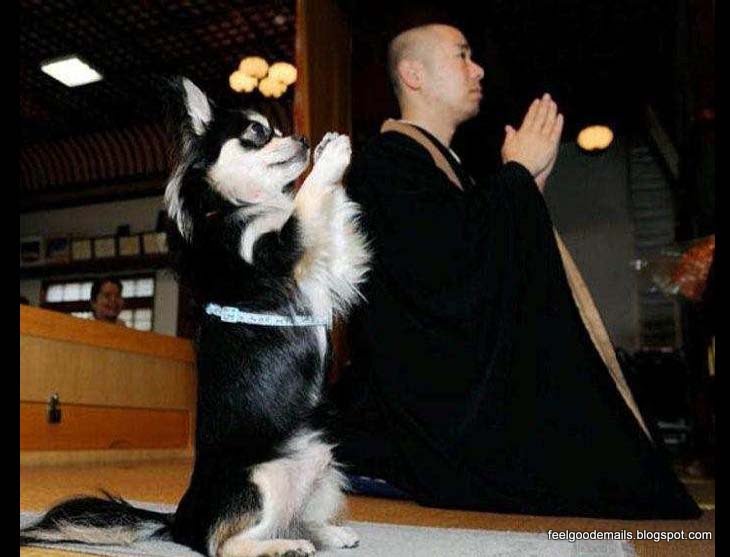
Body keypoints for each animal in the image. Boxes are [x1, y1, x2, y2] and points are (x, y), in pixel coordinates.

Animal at [20, 78, 370, 557]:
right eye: (258, 133)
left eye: (279, 129)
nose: (300, 139)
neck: (241, 206)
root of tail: (180, 520)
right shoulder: (276, 249)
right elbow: (305, 202)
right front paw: (332, 157)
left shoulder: (327, 266)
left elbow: (328, 220)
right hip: (260, 480)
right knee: (222, 543)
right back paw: (283, 547)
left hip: (321, 465)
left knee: (293, 519)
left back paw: (325, 533)